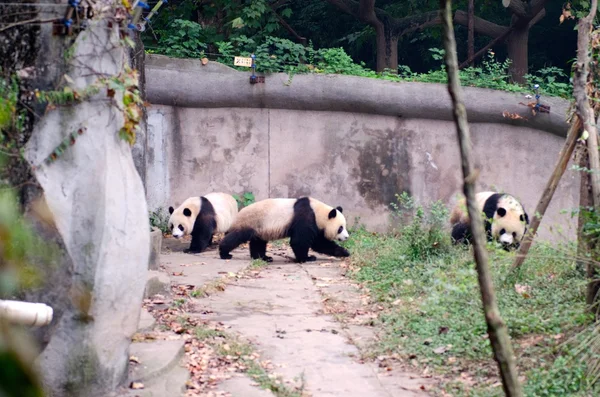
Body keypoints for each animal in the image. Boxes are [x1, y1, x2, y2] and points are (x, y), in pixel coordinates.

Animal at [219, 196, 352, 262]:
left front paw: (344, 252)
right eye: (340, 228)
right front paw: (307, 258)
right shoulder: (305, 216)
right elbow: (300, 241)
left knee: (258, 242)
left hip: (260, 229)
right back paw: (224, 253)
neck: (318, 211)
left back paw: (264, 258)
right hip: (249, 222)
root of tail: (236, 215)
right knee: (236, 237)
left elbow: (319, 243)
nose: (347, 237)